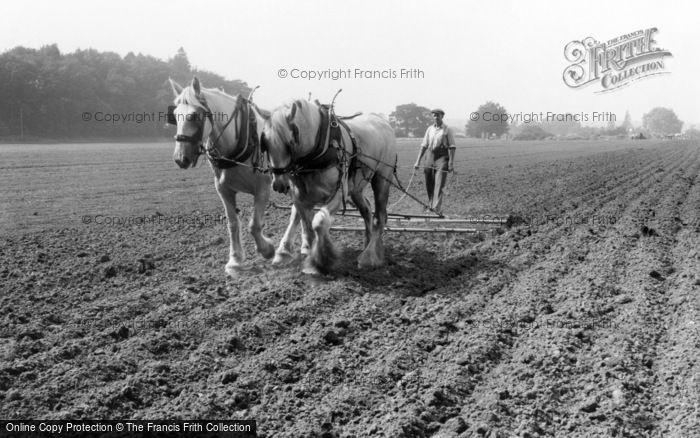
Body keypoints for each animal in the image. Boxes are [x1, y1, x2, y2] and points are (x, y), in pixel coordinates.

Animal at [170, 75, 276, 274]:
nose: (180, 158)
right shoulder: (224, 190)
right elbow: (232, 224)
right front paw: (235, 260)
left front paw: (267, 249)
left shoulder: (263, 187)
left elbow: (254, 225)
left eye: (194, 116)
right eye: (174, 115)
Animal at [262, 99, 396, 276]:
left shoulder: (338, 195)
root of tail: (382, 121)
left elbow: (318, 222)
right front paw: (309, 259)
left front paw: (322, 259)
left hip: (382, 178)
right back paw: (367, 243)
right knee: (366, 210)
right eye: (264, 143)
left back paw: (369, 257)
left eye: (290, 142)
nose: (278, 184)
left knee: (380, 216)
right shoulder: (300, 198)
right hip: (356, 187)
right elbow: (307, 227)